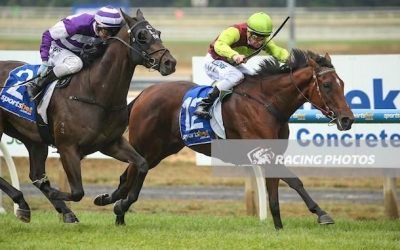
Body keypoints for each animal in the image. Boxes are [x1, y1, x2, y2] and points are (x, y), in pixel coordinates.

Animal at [0, 9, 177, 223]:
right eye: (142, 36)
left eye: (158, 33)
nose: (170, 62)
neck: (95, 93)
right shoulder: (67, 148)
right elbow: (77, 192)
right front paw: (55, 193)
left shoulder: (111, 143)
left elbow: (142, 164)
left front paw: (111, 199)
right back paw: (26, 202)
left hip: (33, 138)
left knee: (36, 174)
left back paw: (41, 209)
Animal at [95, 49, 354, 229]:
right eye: (327, 85)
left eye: (342, 84)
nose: (347, 119)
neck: (267, 103)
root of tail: (144, 93)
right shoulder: (263, 153)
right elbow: (294, 181)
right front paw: (321, 213)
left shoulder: (271, 154)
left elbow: (275, 193)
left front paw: (279, 227)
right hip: (146, 143)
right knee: (133, 171)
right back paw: (116, 204)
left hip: (161, 148)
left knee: (132, 173)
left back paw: (116, 208)